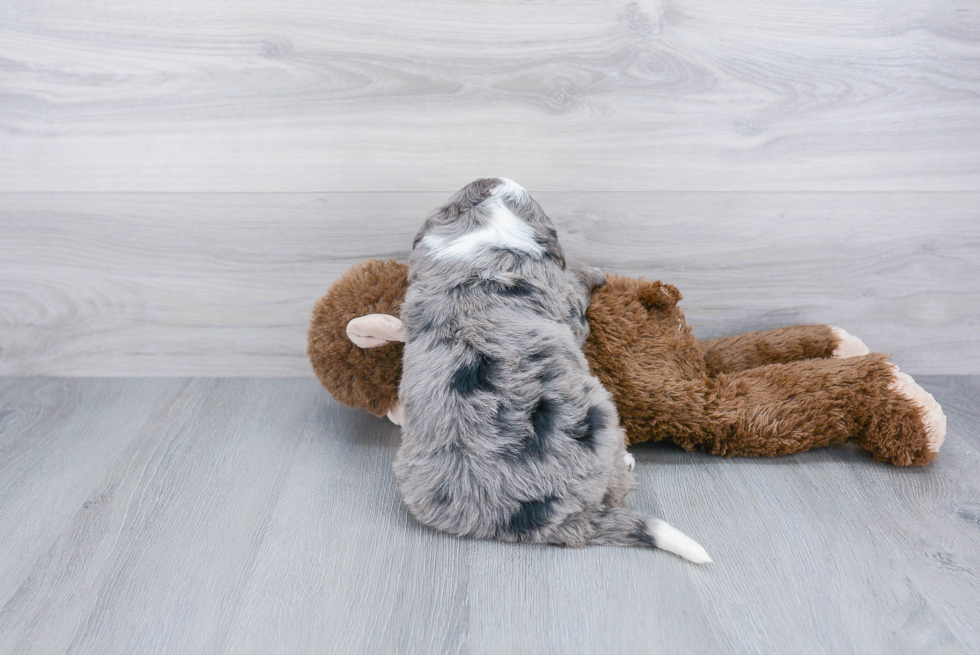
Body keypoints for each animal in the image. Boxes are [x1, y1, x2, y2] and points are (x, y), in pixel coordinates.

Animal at [392, 178, 712, 564]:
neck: (484, 231)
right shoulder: (567, 301)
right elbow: (575, 283)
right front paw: (596, 274)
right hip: (602, 415)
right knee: (615, 482)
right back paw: (627, 461)